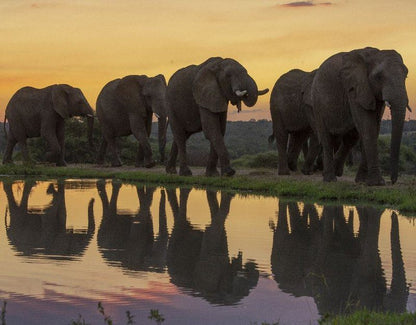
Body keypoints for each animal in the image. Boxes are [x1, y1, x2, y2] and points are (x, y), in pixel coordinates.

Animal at [312, 46, 410, 184]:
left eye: (406, 75)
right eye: (379, 77)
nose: (392, 180)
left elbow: (374, 126)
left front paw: (363, 181)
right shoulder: (354, 88)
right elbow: (367, 125)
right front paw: (377, 183)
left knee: (351, 138)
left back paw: (336, 172)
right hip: (317, 104)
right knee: (327, 138)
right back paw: (330, 179)